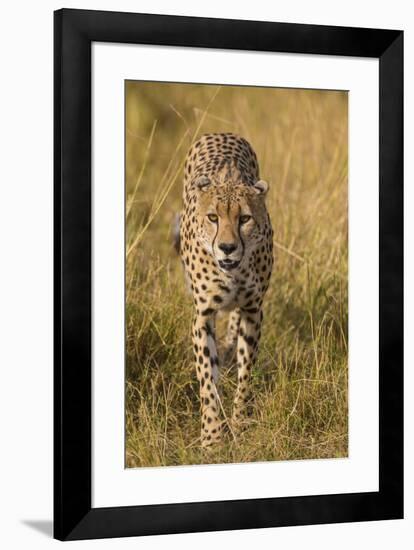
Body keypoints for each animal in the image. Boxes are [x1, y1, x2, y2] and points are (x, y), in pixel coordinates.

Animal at [179, 134, 274, 448]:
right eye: (212, 218)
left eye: (244, 218)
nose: (228, 247)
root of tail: (221, 132)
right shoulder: (203, 315)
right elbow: (208, 379)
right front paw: (211, 436)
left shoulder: (253, 310)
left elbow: (246, 373)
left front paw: (240, 422)